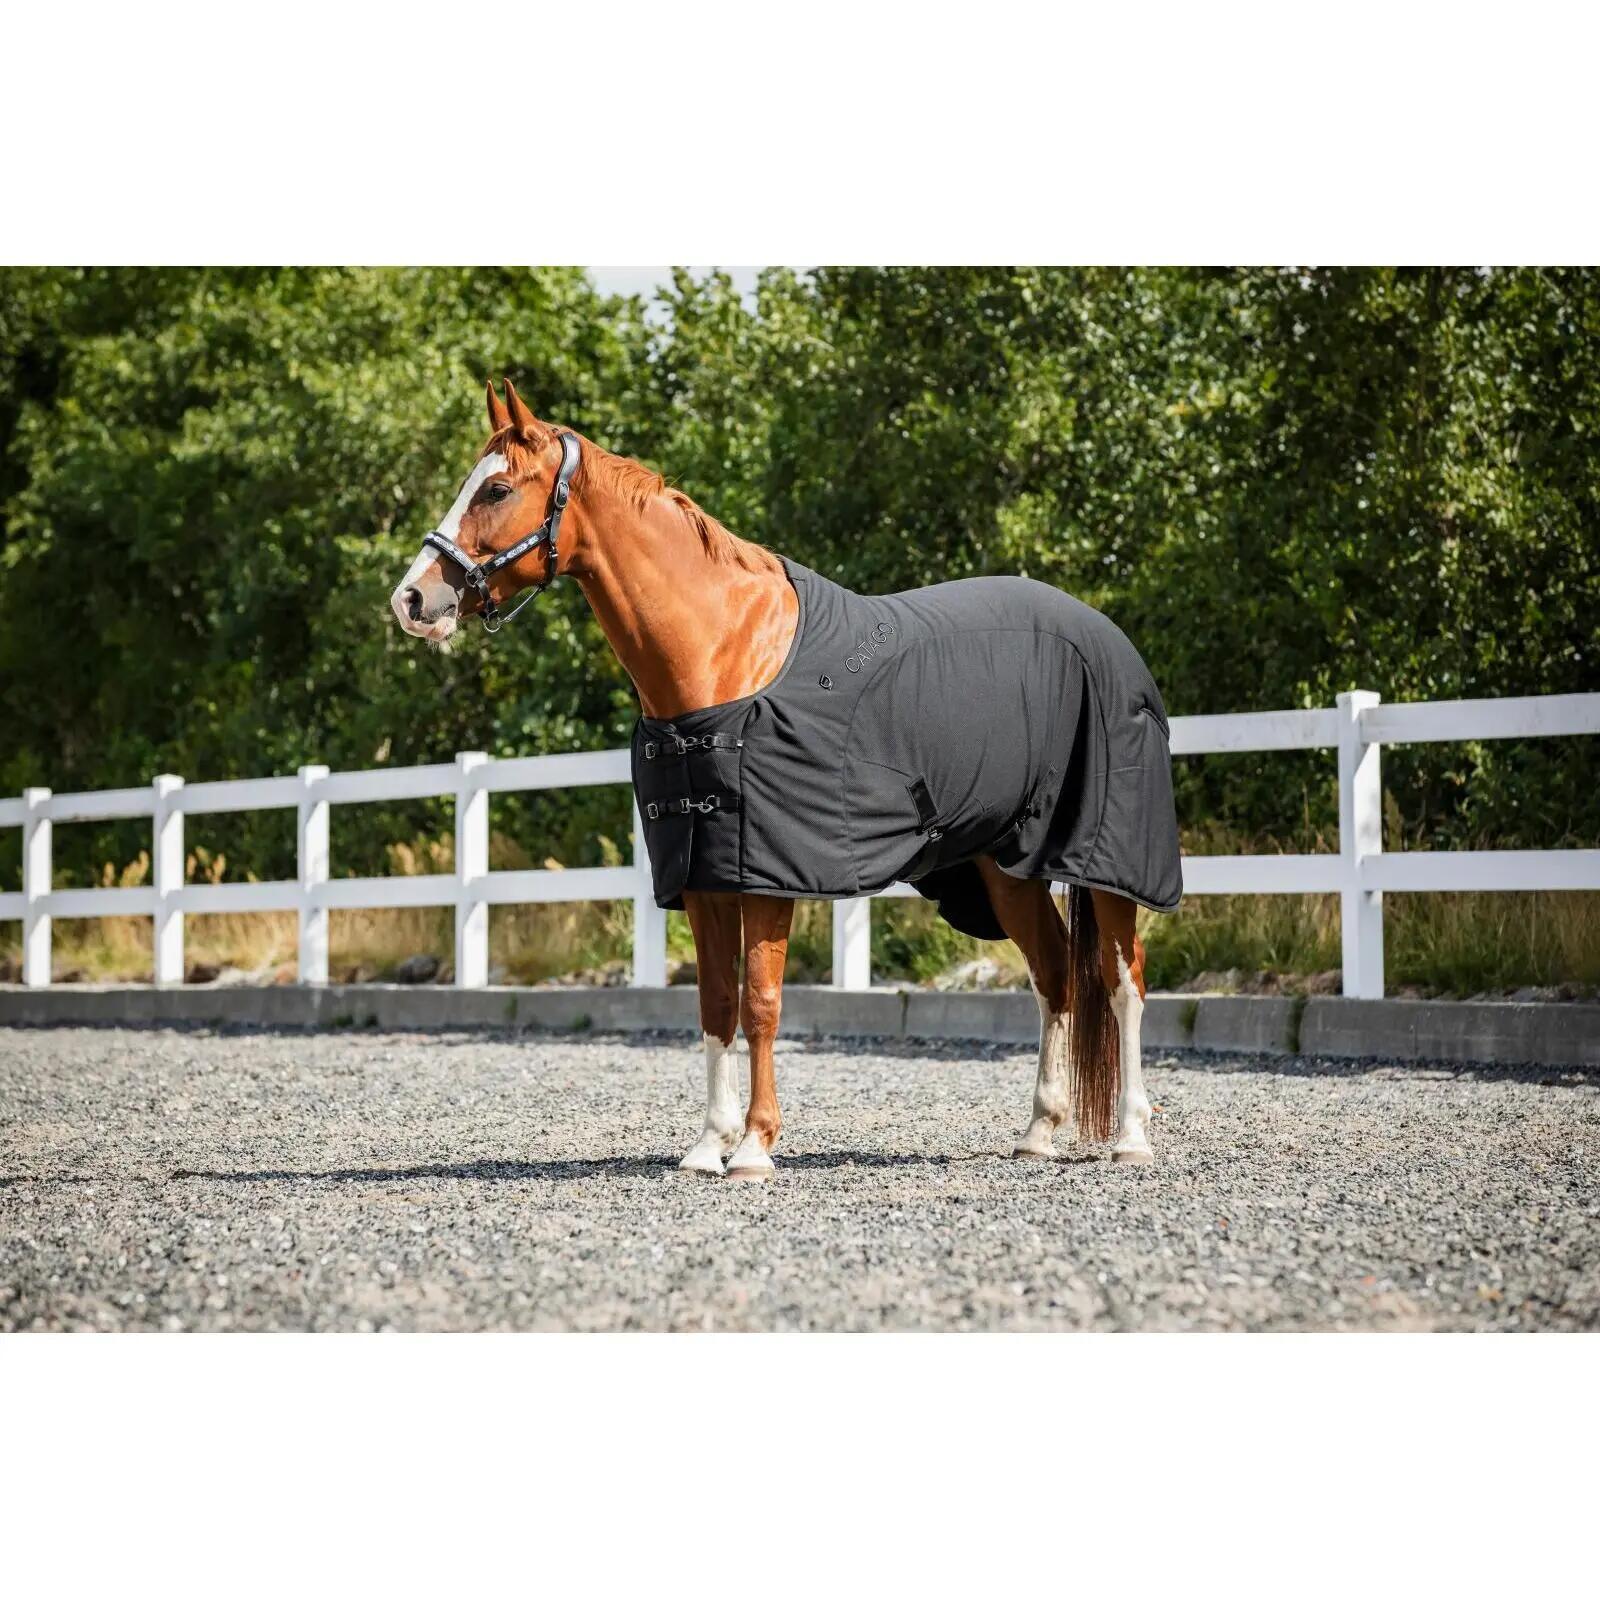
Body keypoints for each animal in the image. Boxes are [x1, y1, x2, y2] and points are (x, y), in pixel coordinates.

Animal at [391, 379, 1182, 1181]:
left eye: (495, 489)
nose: (413, 601)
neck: (724, 653)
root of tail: (1108, 638)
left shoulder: (768, 873)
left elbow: (761, 1001)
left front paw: (754, 1146)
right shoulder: (704, 872)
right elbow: (714, 1002)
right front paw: (708, 1144)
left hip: (1110, 861)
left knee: (1123, 981)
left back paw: (1131, 1136)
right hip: (1005, 869)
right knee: (1053, 974)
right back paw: (1039, 1131)